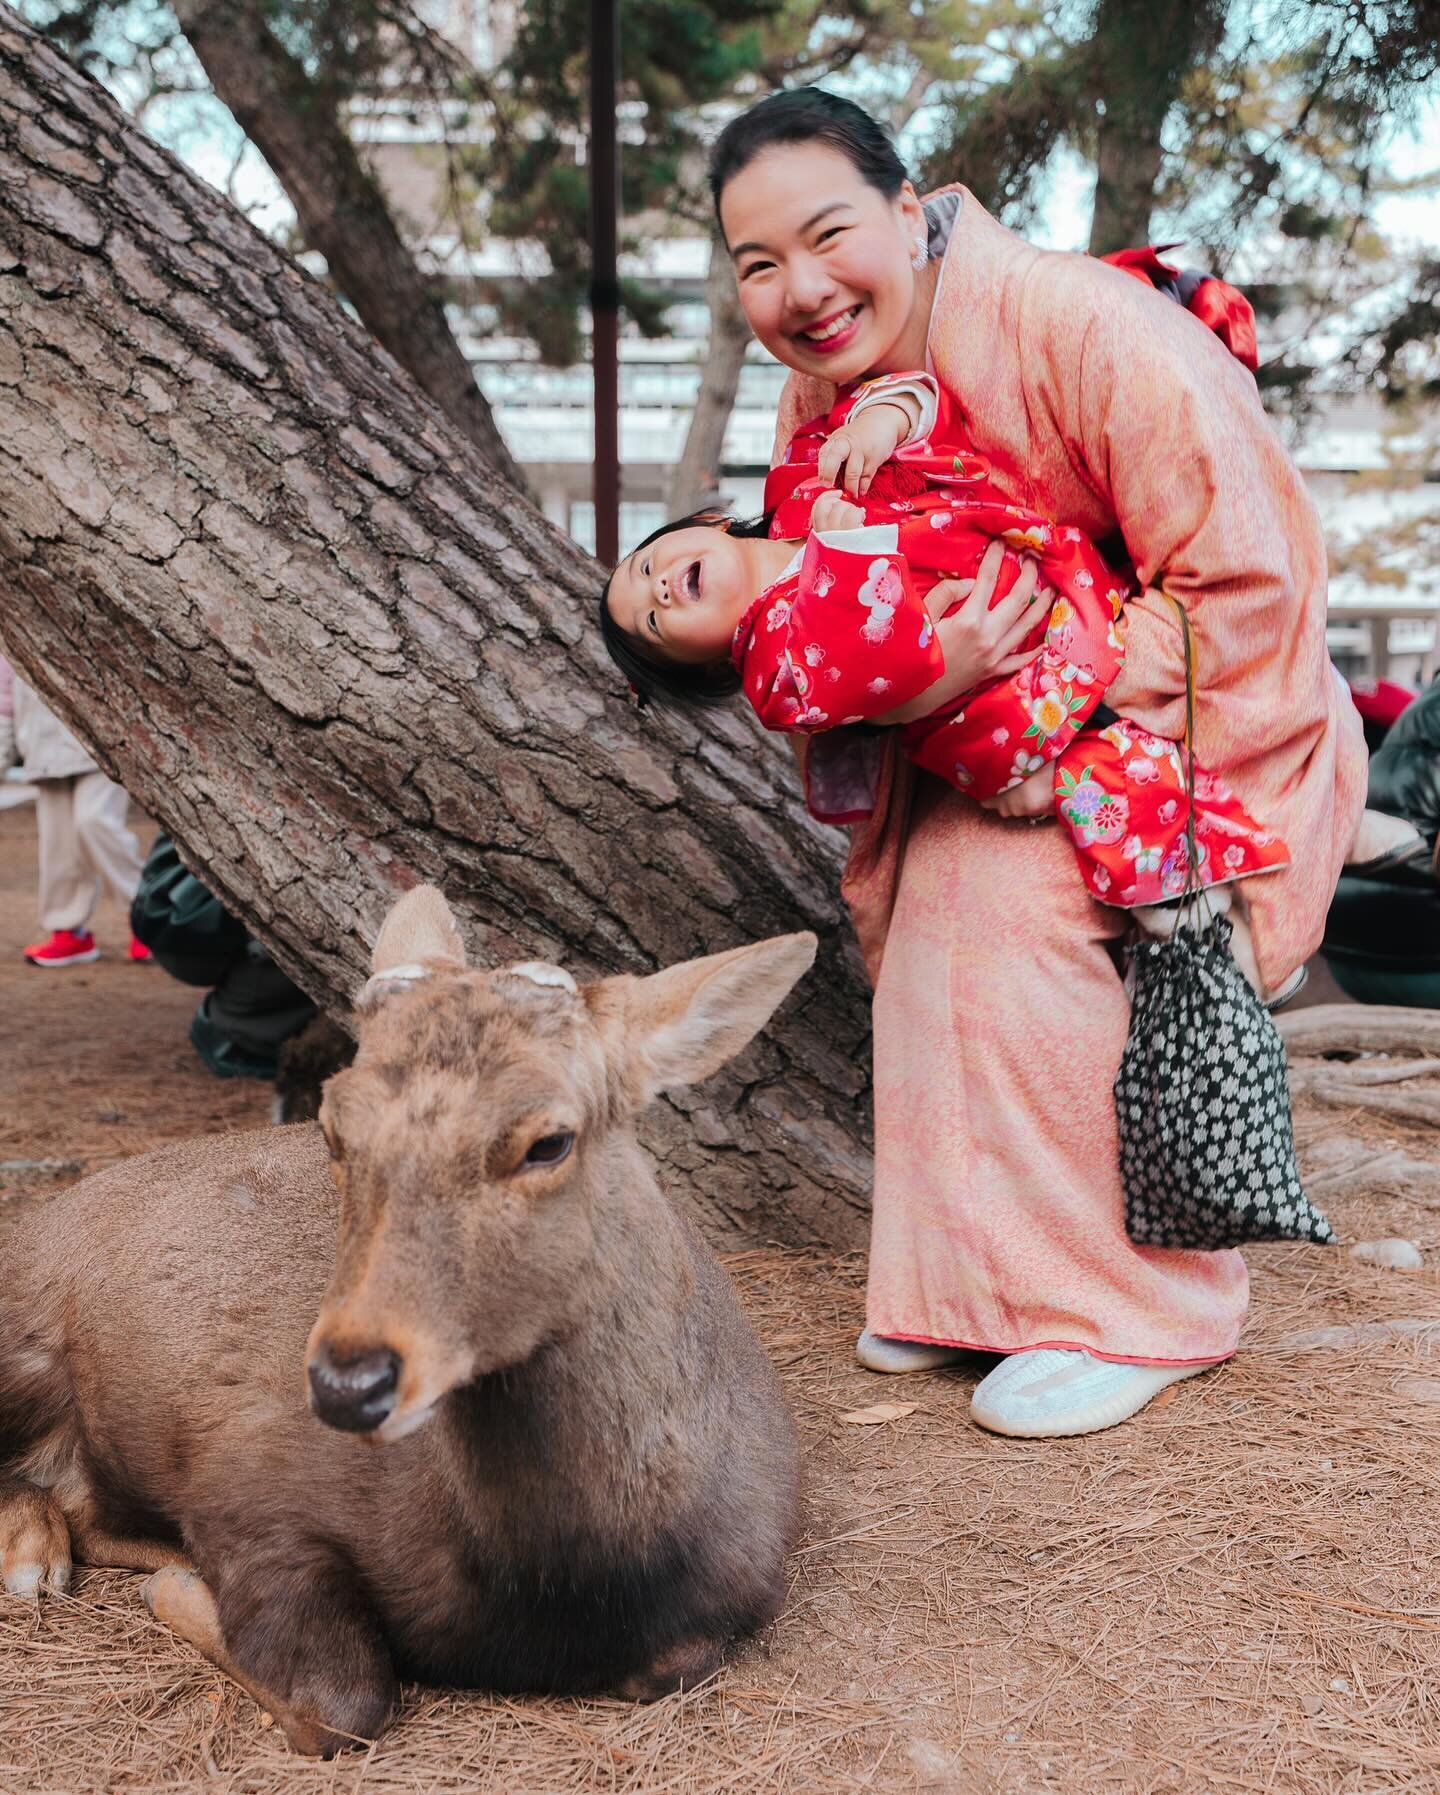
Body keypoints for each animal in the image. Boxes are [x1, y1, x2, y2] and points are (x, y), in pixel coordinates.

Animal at [0, 890, 807, 1759]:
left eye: (550, 1140)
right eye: (332, 1126)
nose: (347, 1381)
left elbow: (676, 1664)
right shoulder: (245, 1482)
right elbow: (339, 1700)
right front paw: (179, 1582)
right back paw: (32, 1553)